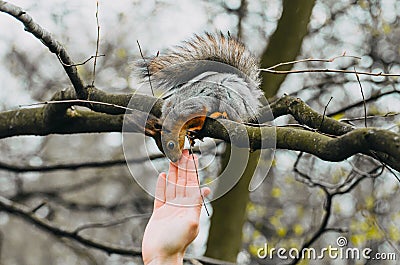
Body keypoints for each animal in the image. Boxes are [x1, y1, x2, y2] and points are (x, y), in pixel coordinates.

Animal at [136, 32, 264, 161]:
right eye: (160, 149)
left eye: (170, 145)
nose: (175, 160)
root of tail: (249, 93)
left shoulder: (194, 107)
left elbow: (200, 116)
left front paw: (195, 129)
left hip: (230, 98)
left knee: (235, 116)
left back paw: (220, 114)